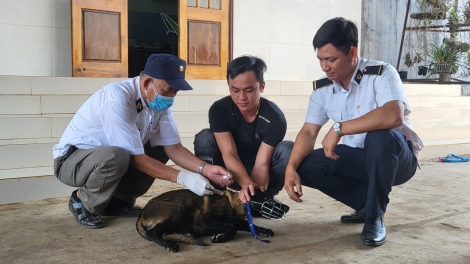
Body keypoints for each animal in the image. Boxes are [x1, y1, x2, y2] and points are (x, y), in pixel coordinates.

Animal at [136, 189, 274, 253]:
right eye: (265, 198)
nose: (286, 208)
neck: (231, 202)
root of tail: (142, 213)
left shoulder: (238, 221)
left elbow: (249, 225)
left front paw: (264, 230)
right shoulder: (201, 222)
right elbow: (232, 228)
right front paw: (220, 237)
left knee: (164, 232)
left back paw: (186, 234)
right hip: (178, 209)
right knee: (153, 233)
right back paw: (169, 244)